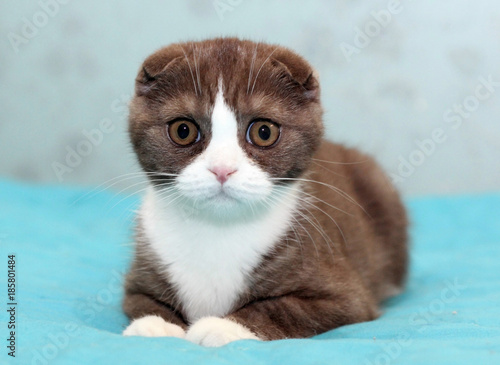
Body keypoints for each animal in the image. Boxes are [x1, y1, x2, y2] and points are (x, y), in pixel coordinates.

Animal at [123, 38, 408, 346]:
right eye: (183, 130)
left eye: (263, 131)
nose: (222, 169)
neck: (218, 229)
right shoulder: (140, 275)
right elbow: (139, 300)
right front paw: (155, 324)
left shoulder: (346, 295)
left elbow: (280, 308)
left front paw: (222, 327)